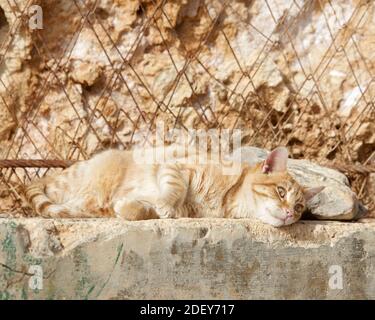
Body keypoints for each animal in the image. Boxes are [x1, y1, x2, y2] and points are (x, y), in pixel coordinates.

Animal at [25, 146, 324, 226]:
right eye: (281, 192)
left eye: (299, 207)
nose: (290, 213)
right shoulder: (176, 167)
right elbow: (173, 189)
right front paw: (164, 204)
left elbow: (143, 211)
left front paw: (133, 208)